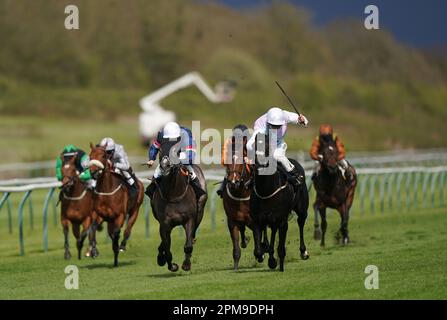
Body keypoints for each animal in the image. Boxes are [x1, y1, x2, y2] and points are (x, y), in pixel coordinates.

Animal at [150, 141, 206, 272]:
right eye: (160, 150)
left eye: (176, 151)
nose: (165, 165)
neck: (173, 194)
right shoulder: (164, 223)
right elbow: (167, 247)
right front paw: (171, 265)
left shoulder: (189, 219)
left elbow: (188, 245)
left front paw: (186, 264)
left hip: (200, 211)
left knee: (193, 234)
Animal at [250, 134, 310, 272]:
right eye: (254, 146)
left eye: (267, 147)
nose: (260, 164)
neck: (266, 191)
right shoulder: (257, 219)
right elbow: (258, 250)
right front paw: (266, 256)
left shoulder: (282, 220)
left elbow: (281, 248)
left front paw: (279, 264)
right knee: (272, 231)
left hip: (302, 209)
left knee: (301, 222)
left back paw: (303, 252)